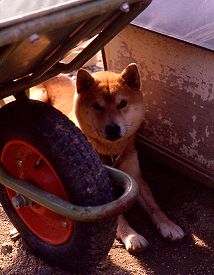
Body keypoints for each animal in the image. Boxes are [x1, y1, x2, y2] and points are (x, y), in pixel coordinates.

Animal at [30, 64, 185, 252]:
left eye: (122, 104)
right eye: (98, 106)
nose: (113, 128)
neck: (110, 152)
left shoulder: (136, 177)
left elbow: (154, 206)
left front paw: (168, 225)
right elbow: (115, 214)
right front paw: (131, 235)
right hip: (39, 97)